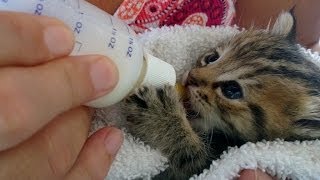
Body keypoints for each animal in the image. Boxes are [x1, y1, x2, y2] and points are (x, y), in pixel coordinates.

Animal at [122, 11, 320, 179]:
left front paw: (160, 116)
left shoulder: (205, 165)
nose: (190, 78)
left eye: (232, 90)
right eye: (212, 58)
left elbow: (190, 157)